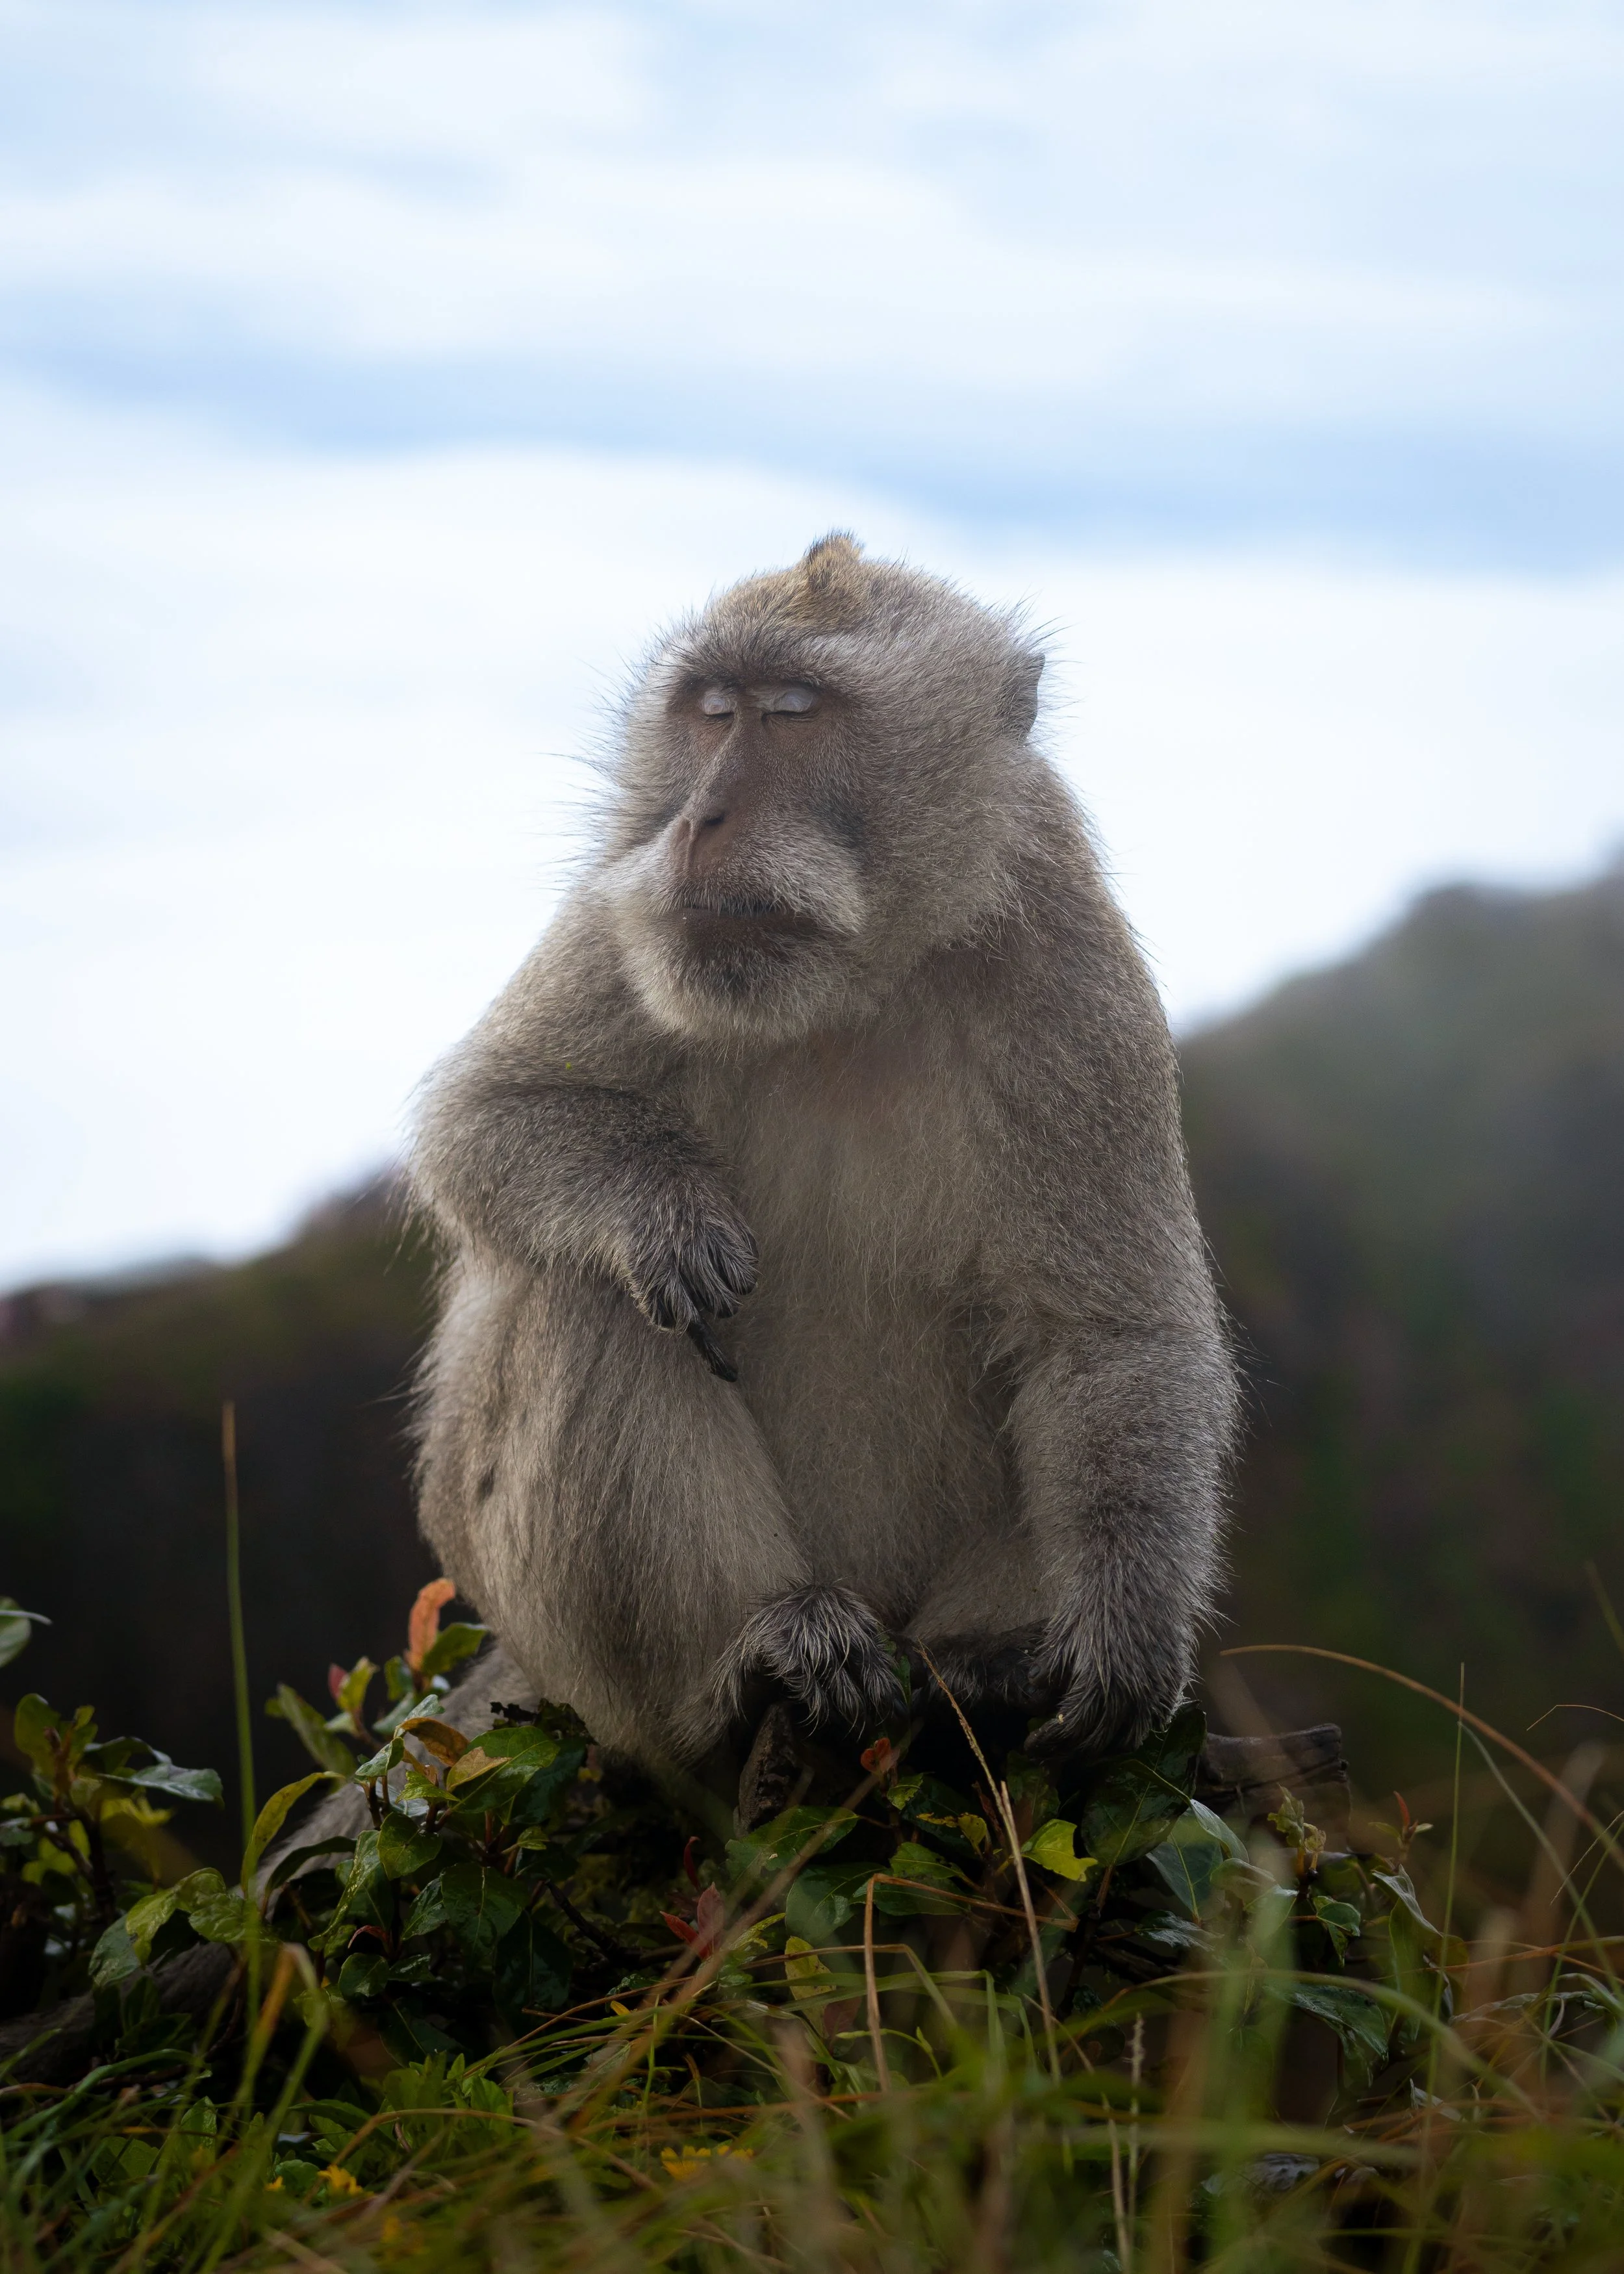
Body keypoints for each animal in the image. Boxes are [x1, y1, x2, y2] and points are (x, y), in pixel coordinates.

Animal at [409, 534, 1237, 1786]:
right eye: (712, 710)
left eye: (793, 712)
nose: (700, 818)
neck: (852, 989)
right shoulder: (630, 903)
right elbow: (483, 1117)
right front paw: (661, 1211)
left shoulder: (1066, 956)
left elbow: (1109, 1333)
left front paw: (1123, 1645)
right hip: (579, 1662)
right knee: (587, 1298)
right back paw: (745, 1670)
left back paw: (985, 1667)